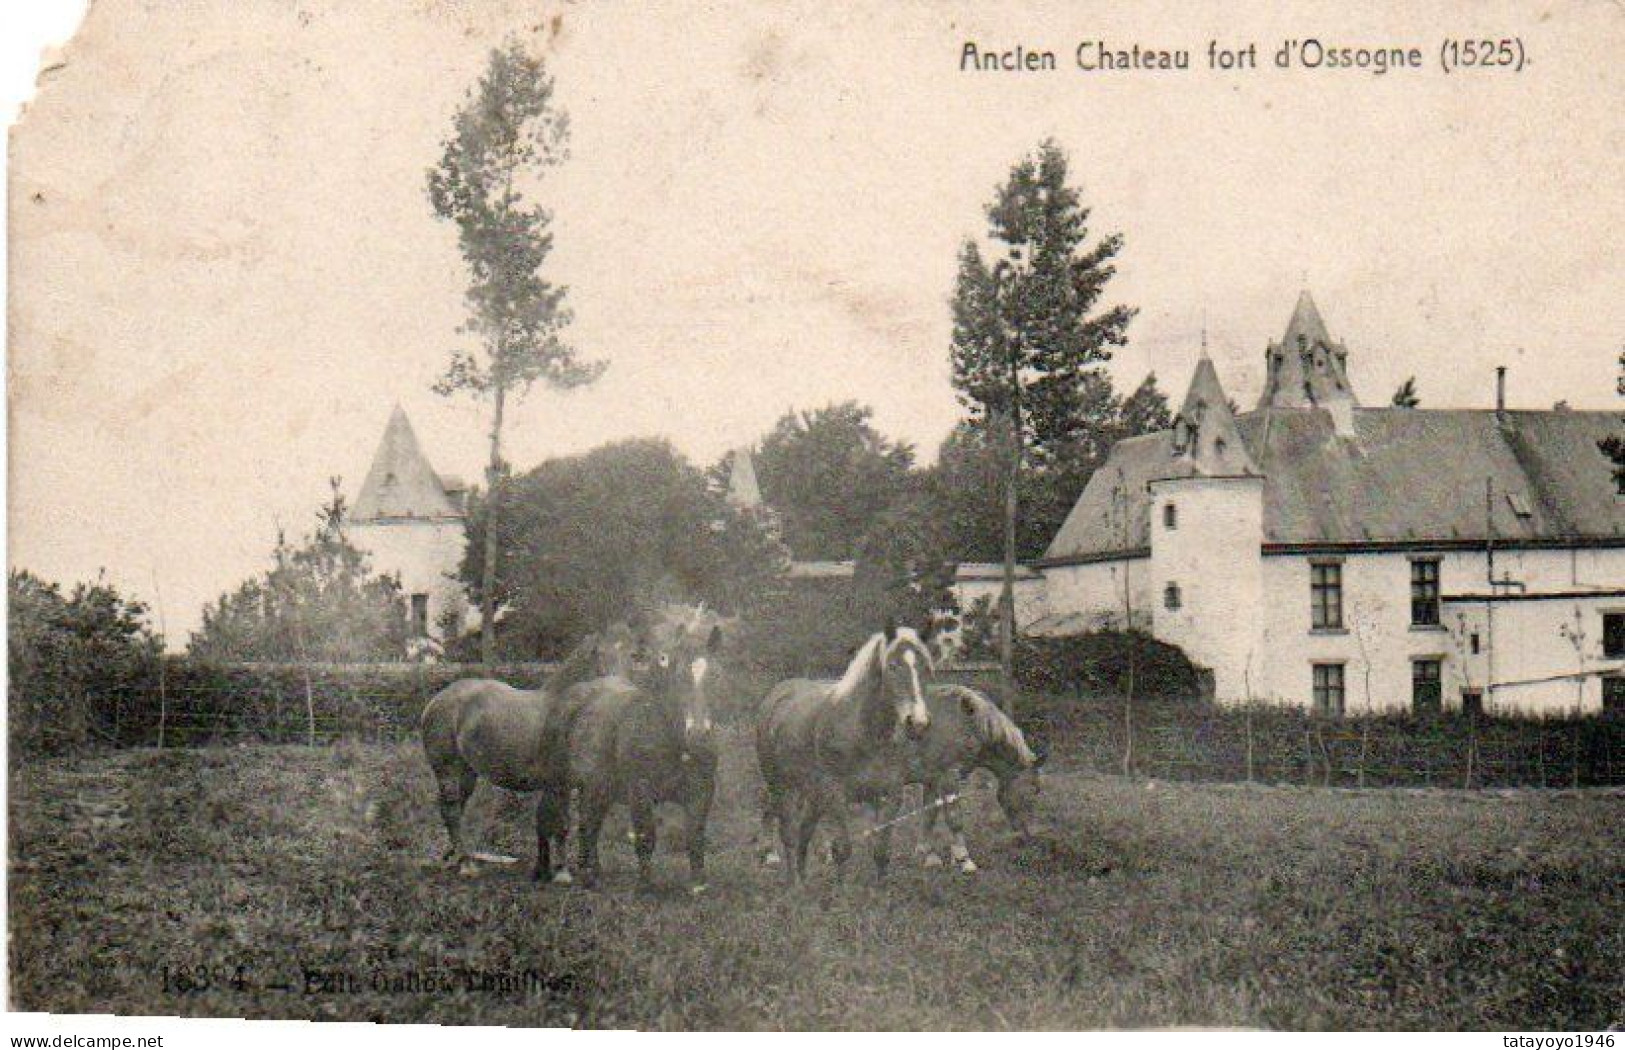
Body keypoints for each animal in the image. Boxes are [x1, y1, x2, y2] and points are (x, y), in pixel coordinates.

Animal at [416, 630, 630, 884]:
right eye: (604, 658)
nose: (626, 691)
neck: (567, 713)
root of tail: (436, 701)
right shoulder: (560, 784)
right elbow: (561, 824)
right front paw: (562, 872)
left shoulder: (561, 785)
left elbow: (548, 822)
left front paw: (544, 870)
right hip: (447, 770)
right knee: (451, 810)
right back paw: (466, 865)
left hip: (467, 774)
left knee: (454, 809)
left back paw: (452, 858)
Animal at [555, 604, 721, 890]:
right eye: (678, 676)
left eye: (716, 677)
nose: (699, 733)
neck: (674, 741)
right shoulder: (639, 790)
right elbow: (646, 835)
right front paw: (644, 885)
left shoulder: (702, 791)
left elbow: (695, 836)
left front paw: (698, 884)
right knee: (576, 821)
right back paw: (576, 871)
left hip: (601, 787)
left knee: (591, 821)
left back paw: (593, 870)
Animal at [750, 624, 936, 890]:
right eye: (893, 666)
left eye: (925, 668)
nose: (918, 723)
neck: (865, 733)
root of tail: (777, 694)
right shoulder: (836, 794)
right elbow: (843, 849)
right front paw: (840, 891)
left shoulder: (889, 795)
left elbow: (881, 850)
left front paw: (881, 890)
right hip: (782, 786)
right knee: (788, 833)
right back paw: (793, 883)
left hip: (811, 794)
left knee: (804, 830)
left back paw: (802, 879)